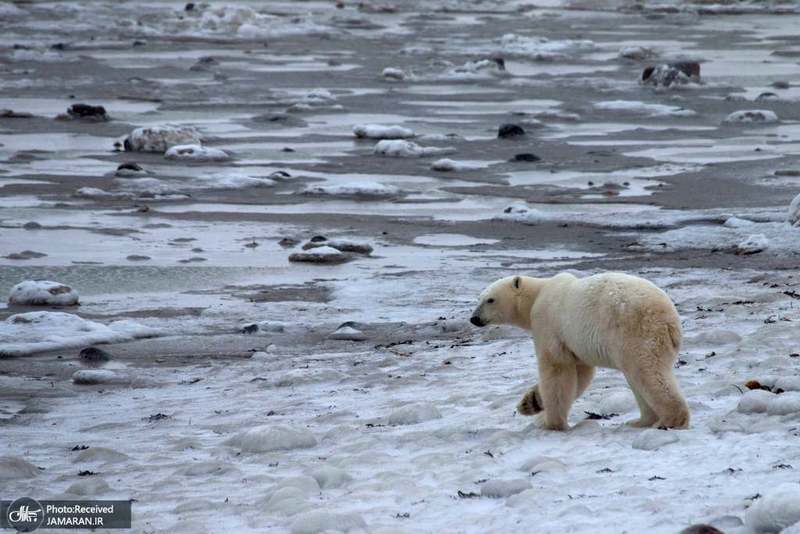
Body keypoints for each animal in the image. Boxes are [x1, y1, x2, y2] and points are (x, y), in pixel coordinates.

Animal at [472, 274, 692, 434]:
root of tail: (670, 319)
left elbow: (557, 370)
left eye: (490, 299)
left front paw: (550, 423)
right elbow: (580, 374)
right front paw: (530, 403)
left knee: (647, 373)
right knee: (638, 378)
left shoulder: (548, 324)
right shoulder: (576, 343)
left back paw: (670, 420)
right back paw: (640, 421)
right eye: (479, 298)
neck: (538, 294)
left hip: (636, 333)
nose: (474, 318)